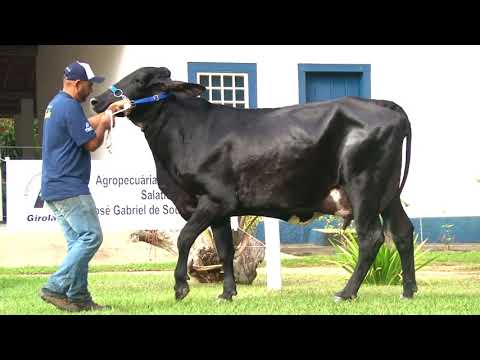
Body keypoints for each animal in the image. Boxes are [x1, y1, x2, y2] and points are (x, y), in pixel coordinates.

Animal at [92, 67, 414, 300]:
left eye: (140, 80)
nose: (96, 100)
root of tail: (383, 105)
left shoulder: (214, 199)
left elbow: (185, 238)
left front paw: (181, 288)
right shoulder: (219, 210)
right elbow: (225, 249)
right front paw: (226, 293)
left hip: (364, 188)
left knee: (371, 237)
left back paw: (346, 293)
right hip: (387, 194)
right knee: (402, 232)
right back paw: (408, 291)